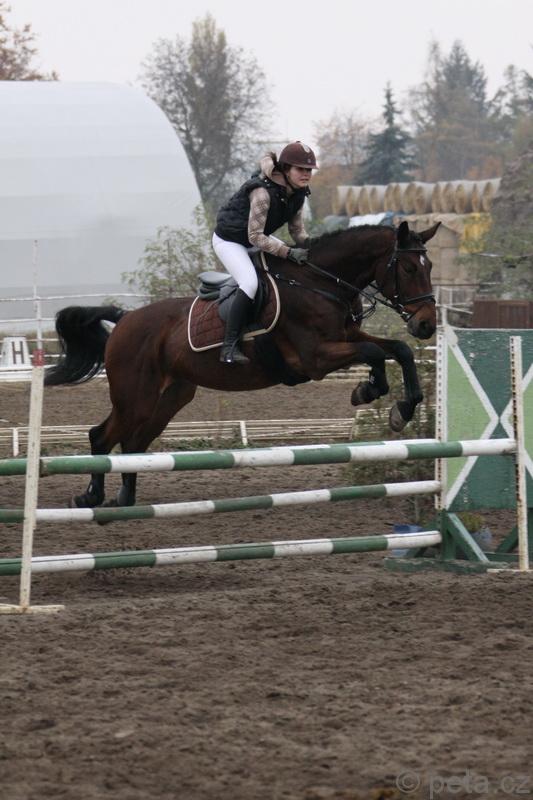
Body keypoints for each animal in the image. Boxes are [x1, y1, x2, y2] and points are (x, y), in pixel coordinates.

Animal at [45, 220, 440, 509]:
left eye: (430, 266)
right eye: (407, 267)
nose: (426, 325)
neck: (318, 283)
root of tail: (124, 319)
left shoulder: (348, 336)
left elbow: (398, 349)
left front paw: (401, 408)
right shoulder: (315, 357)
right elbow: (374, 353)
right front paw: (369, 391)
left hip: (170, 397)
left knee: (132, 443)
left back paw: (124, 499)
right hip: (135, 397)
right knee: (103, 436)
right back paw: (90, 496)